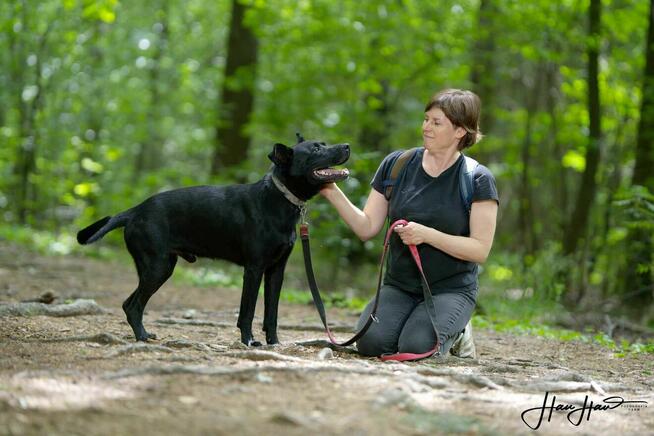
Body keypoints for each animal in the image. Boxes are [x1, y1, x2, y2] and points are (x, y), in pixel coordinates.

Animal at [77, 135, 352, 346]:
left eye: (324, 143)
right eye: (316, 149)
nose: (347, 146)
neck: (279, 199)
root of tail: (134, 211)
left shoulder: (276, 271)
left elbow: (271, 314)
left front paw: (274, 343)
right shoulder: (254, 269)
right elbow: (248, 312)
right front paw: (249, 341)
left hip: (160, 267)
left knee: (128, 304)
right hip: (157, 267)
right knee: (133, 305)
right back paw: (142, 337)